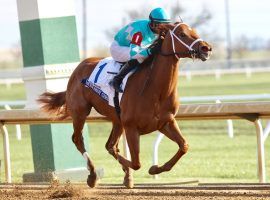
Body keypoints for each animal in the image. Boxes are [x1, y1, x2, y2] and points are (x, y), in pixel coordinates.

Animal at [38, 22, 212, 188]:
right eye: (182, 34)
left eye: (194, 31)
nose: (206, 48)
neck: (155, 90)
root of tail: (79, 67)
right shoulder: (131, 127)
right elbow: (136, 163)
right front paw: (133, 171)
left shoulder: (165, 122)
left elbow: (184, 146)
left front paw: (154, 168)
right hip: (80, 112)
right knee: (78, 139)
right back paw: (93, 175)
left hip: (117, 119)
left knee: (110, 145)